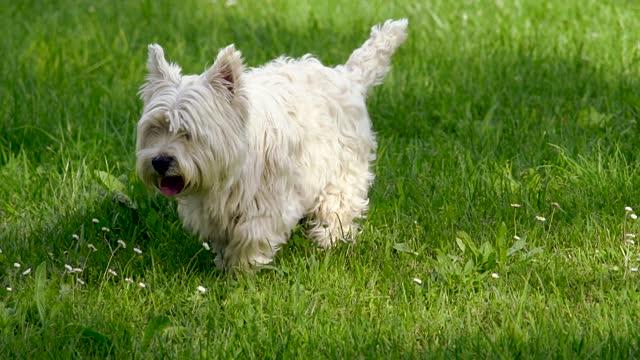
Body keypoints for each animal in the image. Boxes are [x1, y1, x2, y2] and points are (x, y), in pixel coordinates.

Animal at [136, 18, 408, 268]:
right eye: (155, 128)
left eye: (188, 133)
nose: (160, 162)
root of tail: (346, 76)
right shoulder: (211, 208)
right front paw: (225, 265)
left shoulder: (270, 201)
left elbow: (250, 234)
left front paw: (240, 271)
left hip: (342, 170)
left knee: (338, 206)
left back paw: (327, 240)